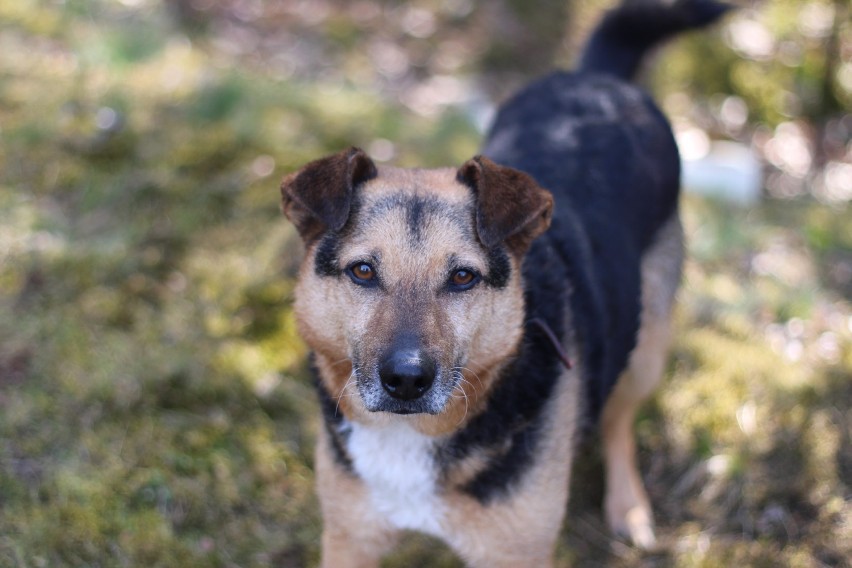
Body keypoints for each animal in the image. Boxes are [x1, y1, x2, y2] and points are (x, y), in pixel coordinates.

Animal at [282, 2, 728, 564]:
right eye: (362, 271)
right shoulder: (350, 537)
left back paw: (628, 506)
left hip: (646, 347)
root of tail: (596, 80)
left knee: (619, 422)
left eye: (462, 277)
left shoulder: (515, 551)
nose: (406, 380)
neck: (413, 435)